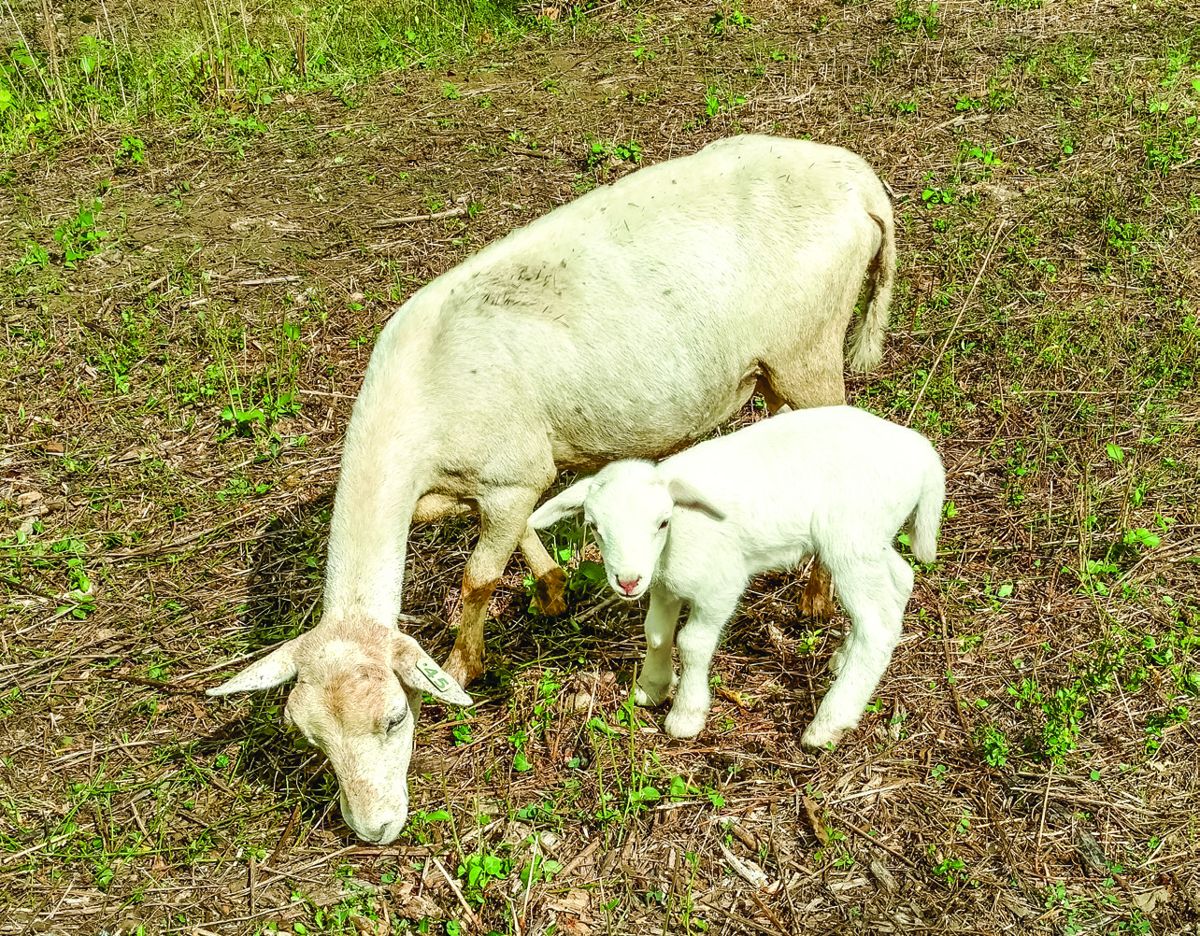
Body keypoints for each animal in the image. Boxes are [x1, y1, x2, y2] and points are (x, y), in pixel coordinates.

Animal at [205, 134, 896, 843]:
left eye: (396, 718)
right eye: (309, 737)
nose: (375, 829)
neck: (413, 405)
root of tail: (863, 184)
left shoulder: (510, 473)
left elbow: (478, 578)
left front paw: (464, 665)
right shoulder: (491, 484)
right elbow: (520, 534)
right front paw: (551, 588)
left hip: (808, 347)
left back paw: (816, 598)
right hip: (777, 367)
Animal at [528, 405, 945, 750]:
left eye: (662, 522)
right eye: (594, 527)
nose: (627, 581)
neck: (672, 542)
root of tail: (923, 453)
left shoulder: (721, 584)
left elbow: (692, 643)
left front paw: (685, 716)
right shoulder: (663, 587)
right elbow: (656, 633)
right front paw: (651, 688)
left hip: (852, 536)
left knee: (877, 623)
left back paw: (829, 723)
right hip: (873, 536)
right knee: (900, 580)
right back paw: (843, 658)